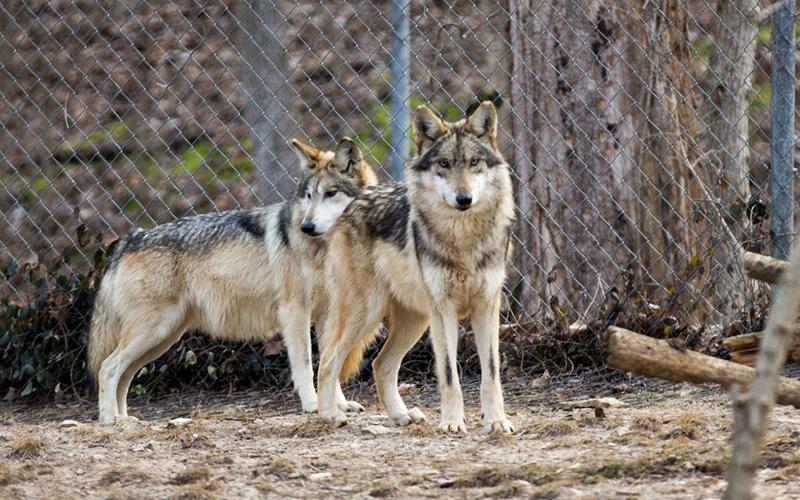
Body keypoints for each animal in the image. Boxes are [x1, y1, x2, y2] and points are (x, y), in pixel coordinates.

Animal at [88, 137, 377, 423]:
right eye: (309, 196)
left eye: (330, 193)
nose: (306, 227)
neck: (322, 248)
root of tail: (130, 239)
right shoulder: (295, 312)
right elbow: (306, 365)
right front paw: (313, 405)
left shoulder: (327, 313)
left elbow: (331, 362)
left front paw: (339, 405)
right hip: (154, 332)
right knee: (107, 368)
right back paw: (109, 420)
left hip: (163, 337)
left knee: (124, 374)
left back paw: (125, 419)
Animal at [316, 102, 515, 433]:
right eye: (444, 164)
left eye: (474, 162)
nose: (464, 199)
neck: (463, 238)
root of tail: (352, 203)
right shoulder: (444, 310)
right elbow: (449, 374)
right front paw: (451, 423)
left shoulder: (487, 305)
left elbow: (491, 372)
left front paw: (497, 421)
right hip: (368, 313)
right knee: (328, 360)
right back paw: (329, 416)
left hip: (414, 320)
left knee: (380, 364)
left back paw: (401, 415)